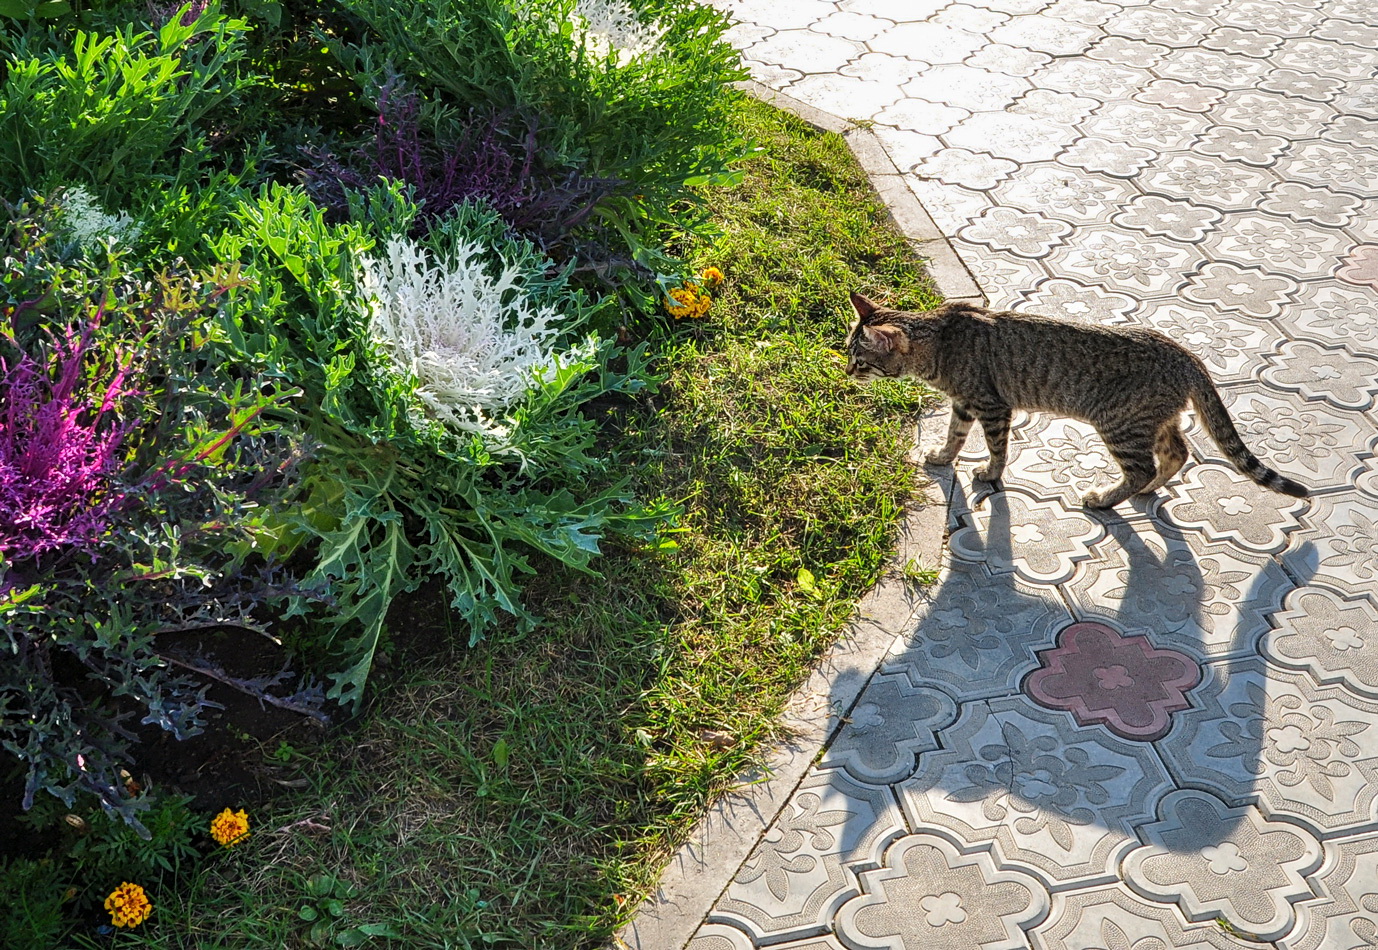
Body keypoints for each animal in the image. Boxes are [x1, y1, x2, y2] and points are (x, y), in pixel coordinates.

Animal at [843, 290, 1306, 507]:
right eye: (849, 353)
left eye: (859, 360)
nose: (846, 372)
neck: (939, 342)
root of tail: (1187, 355)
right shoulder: (963, 403)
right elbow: (955, 435)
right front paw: (942, 456)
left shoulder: (992, 406)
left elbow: (996, 448)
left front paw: (990, 474)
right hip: (1153, 421)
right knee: (1178, 452)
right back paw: (1147, 490)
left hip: (1120, 425)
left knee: (1144, 466)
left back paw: (1106, 499)